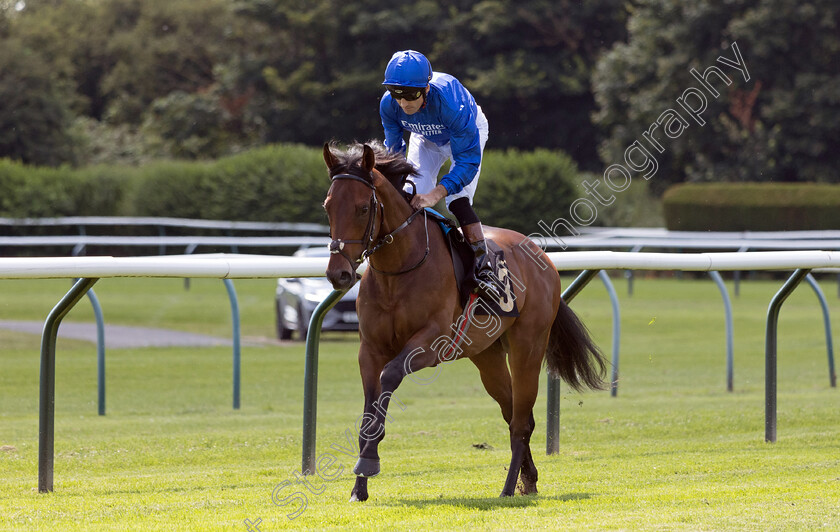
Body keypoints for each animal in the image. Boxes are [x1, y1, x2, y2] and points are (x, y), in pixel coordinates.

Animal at [320, 140, 604, 498]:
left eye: (361, 208)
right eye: (328, 206)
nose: (339, 273)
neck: (399, 270)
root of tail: (543, 257)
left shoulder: (429, 345)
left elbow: (390, 375)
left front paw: (369, 462)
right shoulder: (369, 349)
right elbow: (369, 410)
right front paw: (360, 485)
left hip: (528, 346)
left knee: (521, 421)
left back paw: (509, 488)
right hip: (487, 356)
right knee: (512, 412)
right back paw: (528, 480)